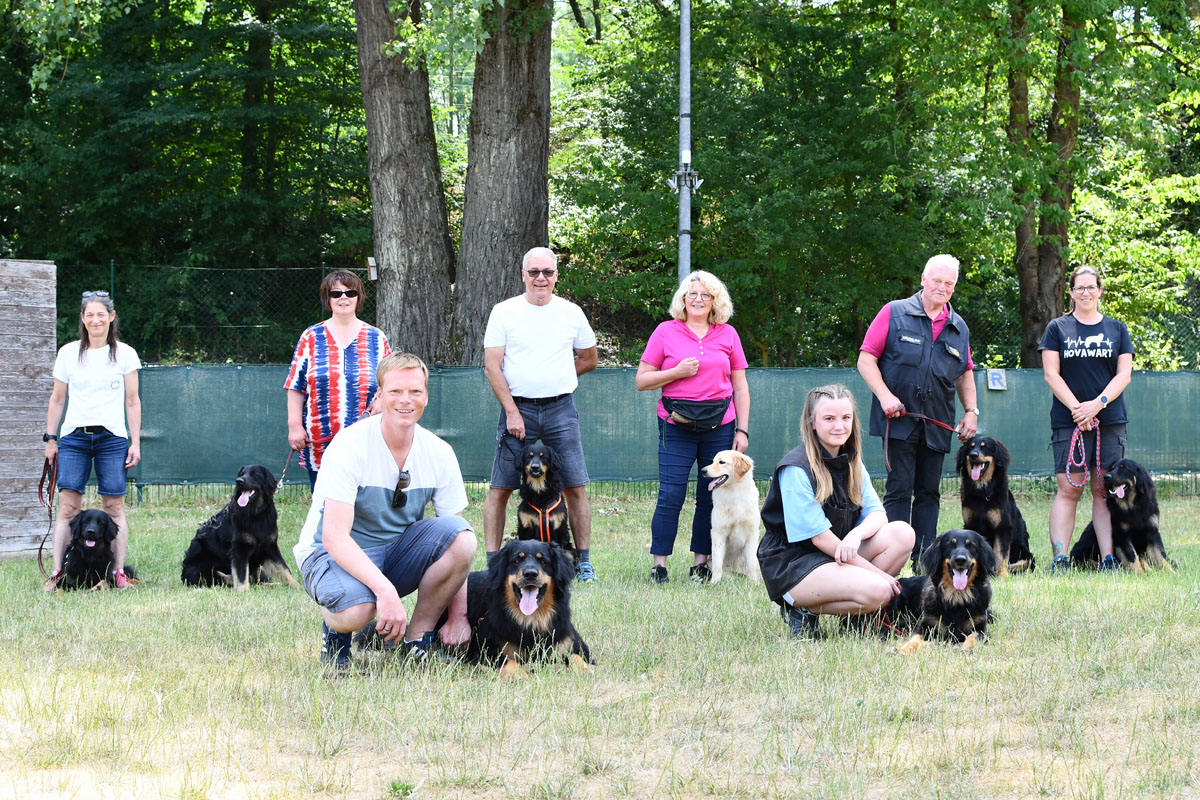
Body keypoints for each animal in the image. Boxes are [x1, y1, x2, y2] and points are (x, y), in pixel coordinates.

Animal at [463, 537, 590, 676]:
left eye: (543, 561)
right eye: (516, 560)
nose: (530, 574)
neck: (533, 618)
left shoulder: (571, 642)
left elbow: (575, 656)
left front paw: (586, 669)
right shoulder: (484, 652)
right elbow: (509, 662)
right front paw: (520, 675)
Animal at [700, 450, 763, 582]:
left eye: (721, 462)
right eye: (713, 461)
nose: (703, 471)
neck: (734, 494)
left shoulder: (752, 533)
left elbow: (751, 564)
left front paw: (754, 582)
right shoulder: (718, 533)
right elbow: (717, 564)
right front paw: (714, 582)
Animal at [955, 438, 1032, 575]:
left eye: (985, 447)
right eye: (970, 447)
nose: (973, 455)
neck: (982, 492)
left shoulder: (1003, 527)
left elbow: (1001, 555)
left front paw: (1002, 575)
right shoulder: (970, 524)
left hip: (1024, 552)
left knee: (1023, 562)